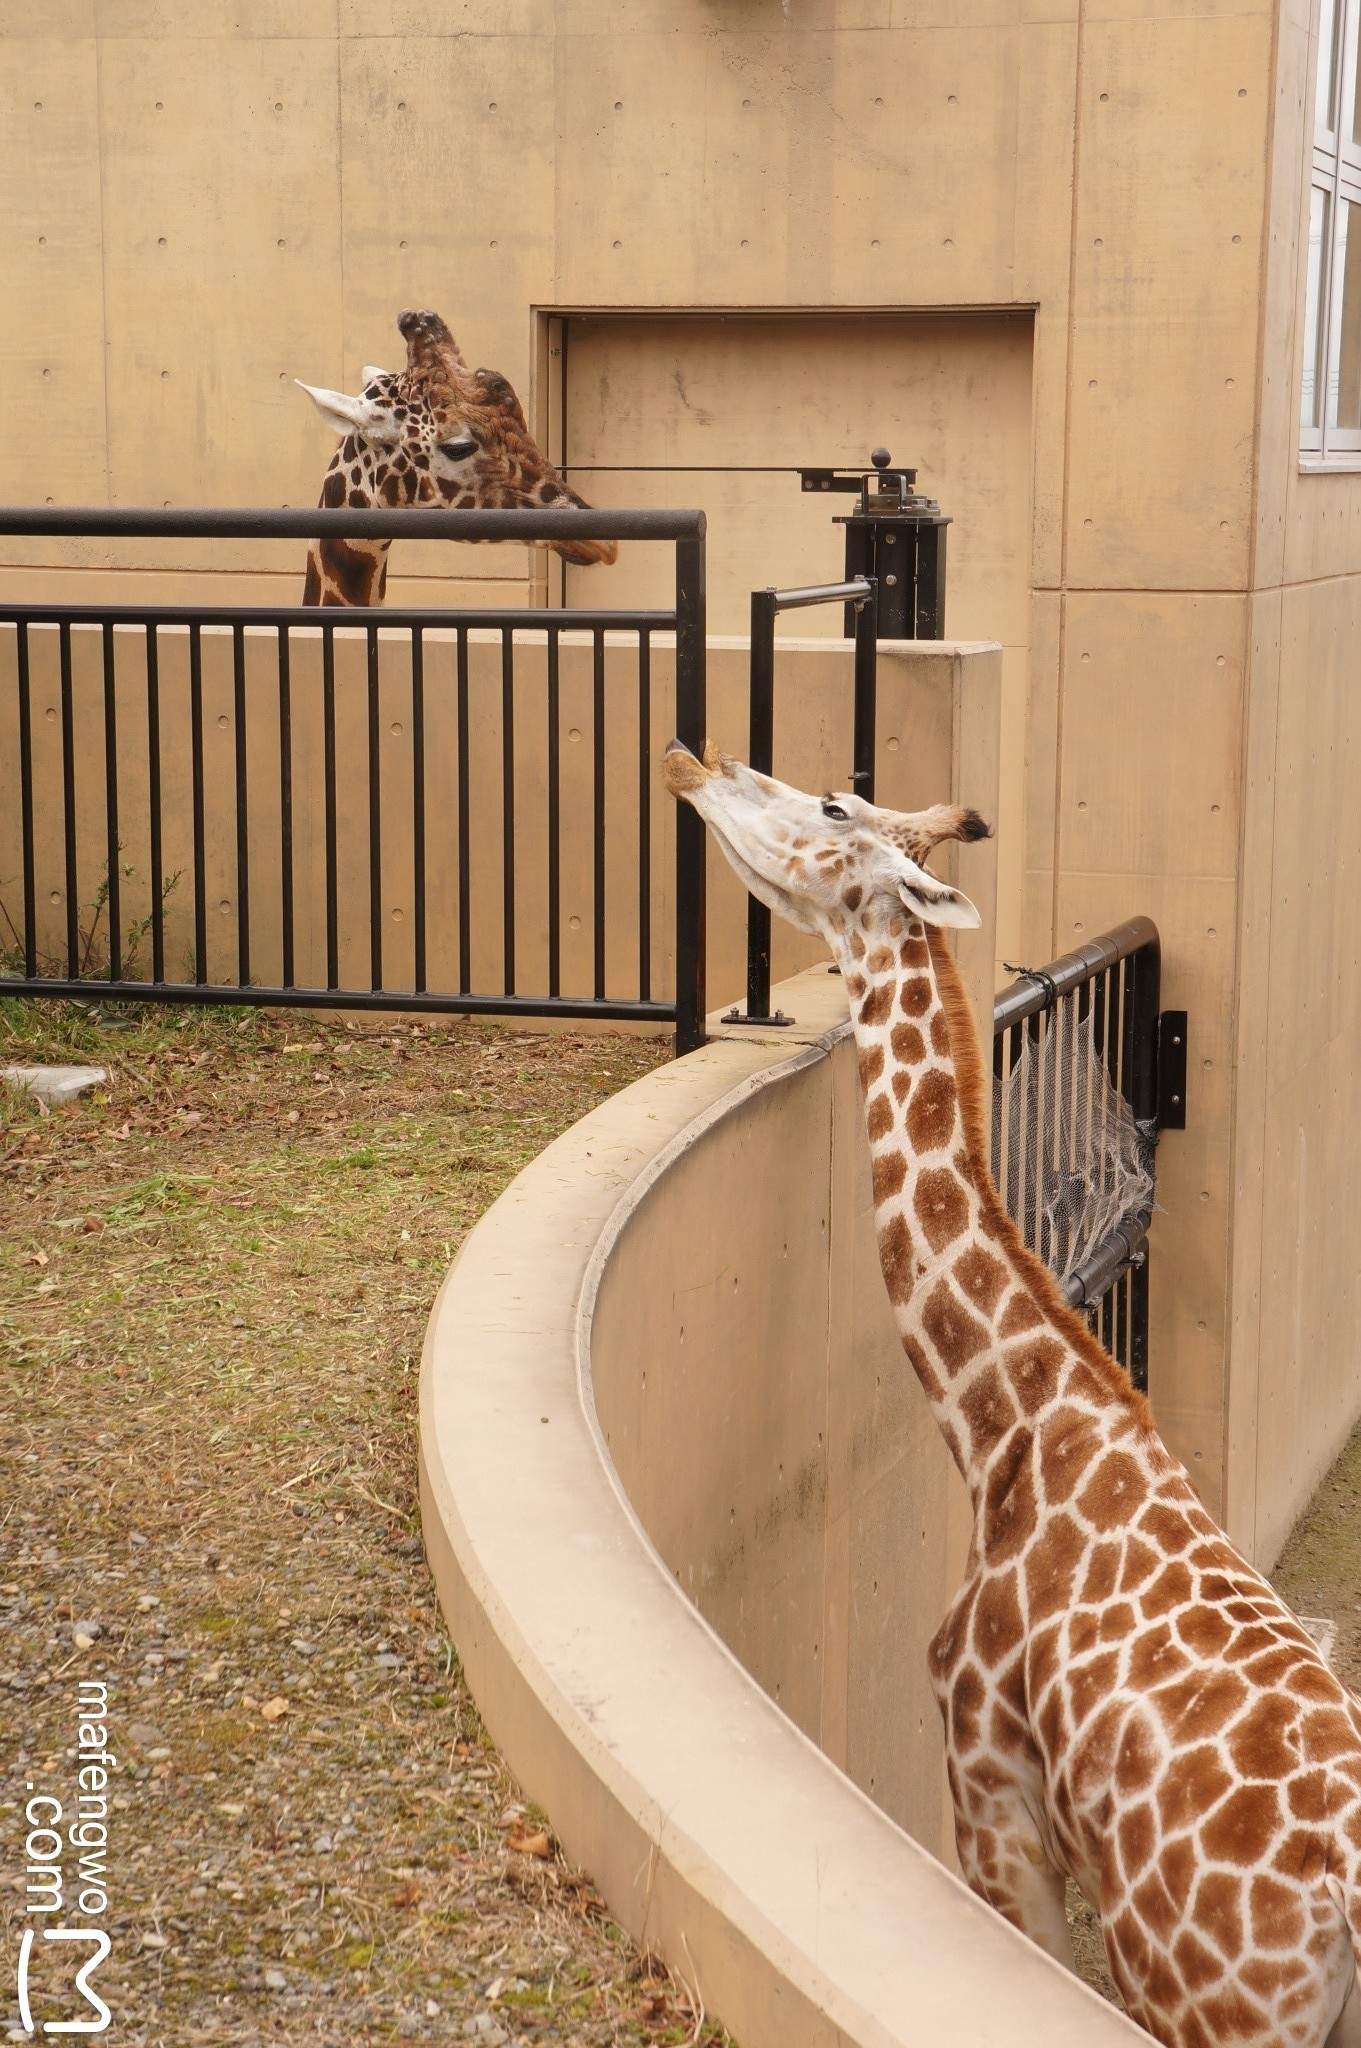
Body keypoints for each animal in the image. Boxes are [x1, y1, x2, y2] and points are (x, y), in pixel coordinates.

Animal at [663, 741, 1358, 2048]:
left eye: (831, 801)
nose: (692, 758)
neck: (1009, 1428)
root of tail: (1342, 1896)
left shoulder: (987, 1787)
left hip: (1215, 2003)